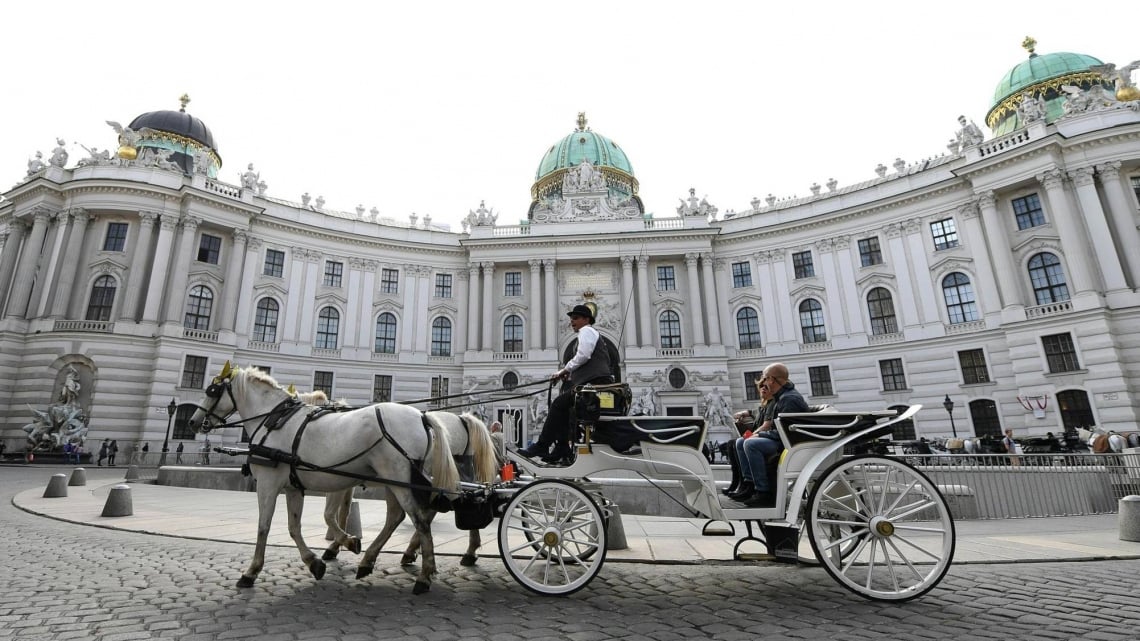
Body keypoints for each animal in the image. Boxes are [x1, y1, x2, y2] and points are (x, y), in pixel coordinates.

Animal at [188, 362, 458, 593]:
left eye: (212, 390)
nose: (193, 421)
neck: (273, 420)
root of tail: (422, 416)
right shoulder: (294, 486)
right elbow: (294, 526)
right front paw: (316, 561)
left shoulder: (268, 483)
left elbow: (264, 526)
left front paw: (251, 572)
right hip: (392, 481)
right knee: (397, 516)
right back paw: (369, 561)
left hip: (400, 479)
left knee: (419, 520)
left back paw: (424, 576)